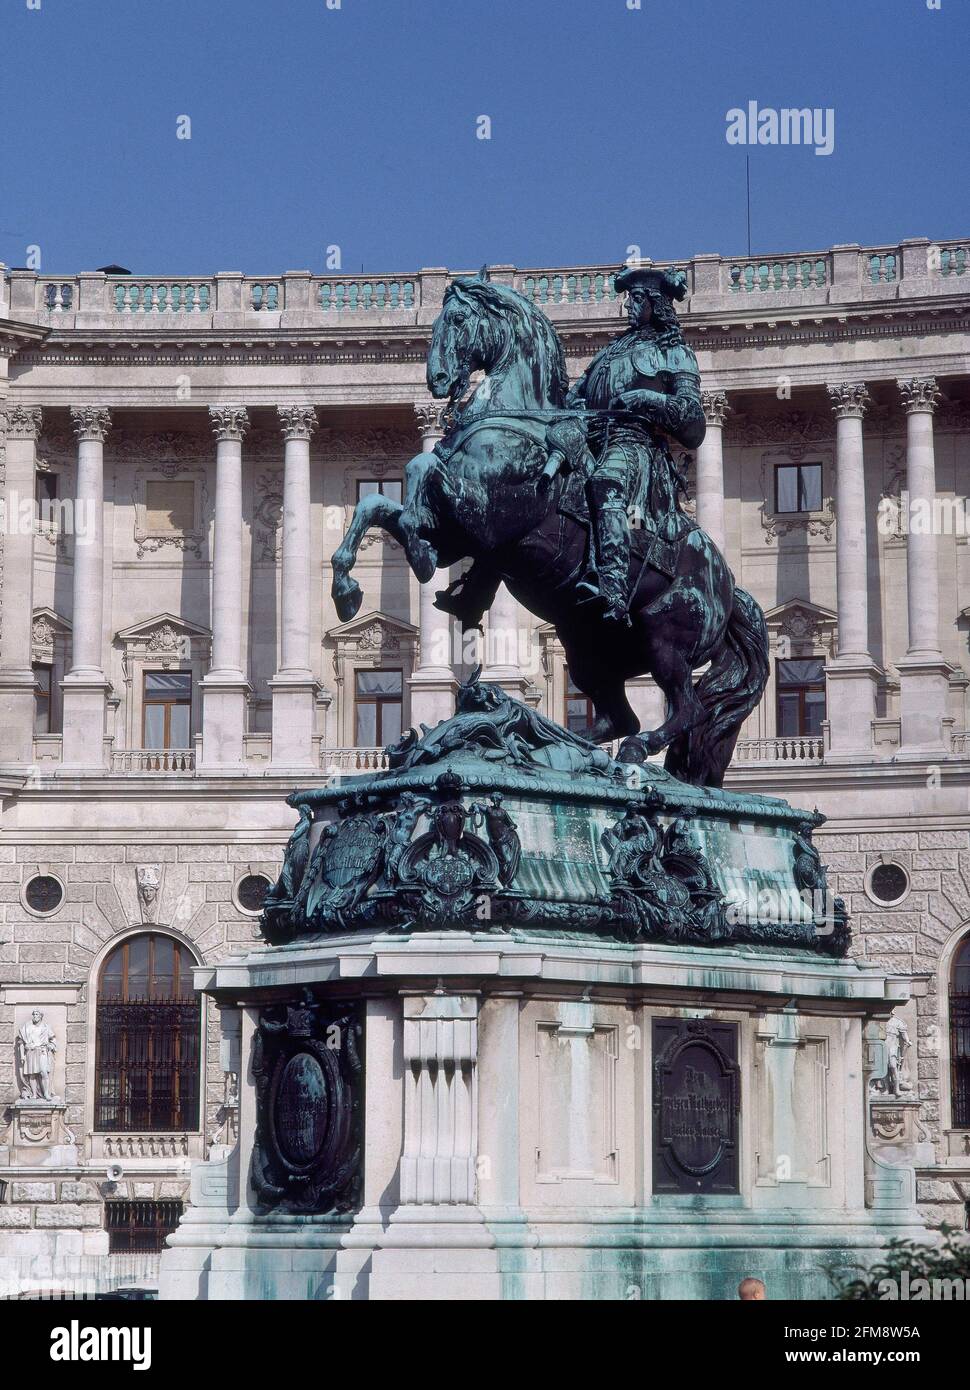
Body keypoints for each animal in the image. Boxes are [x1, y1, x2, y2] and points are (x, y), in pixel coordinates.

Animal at [329, 273, 767, 795]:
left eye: (458, 320)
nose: (437, 381)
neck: (514, 422)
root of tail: (729, 585)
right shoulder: (458, 535)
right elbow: (378, 502)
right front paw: (347, 587)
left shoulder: (485, 520)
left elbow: (421, 471)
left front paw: (416, 550)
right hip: (587, 648)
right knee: (618, 717)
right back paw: (551, 740)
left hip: (665, 638)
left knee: (686, 707)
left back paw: (620, 750)